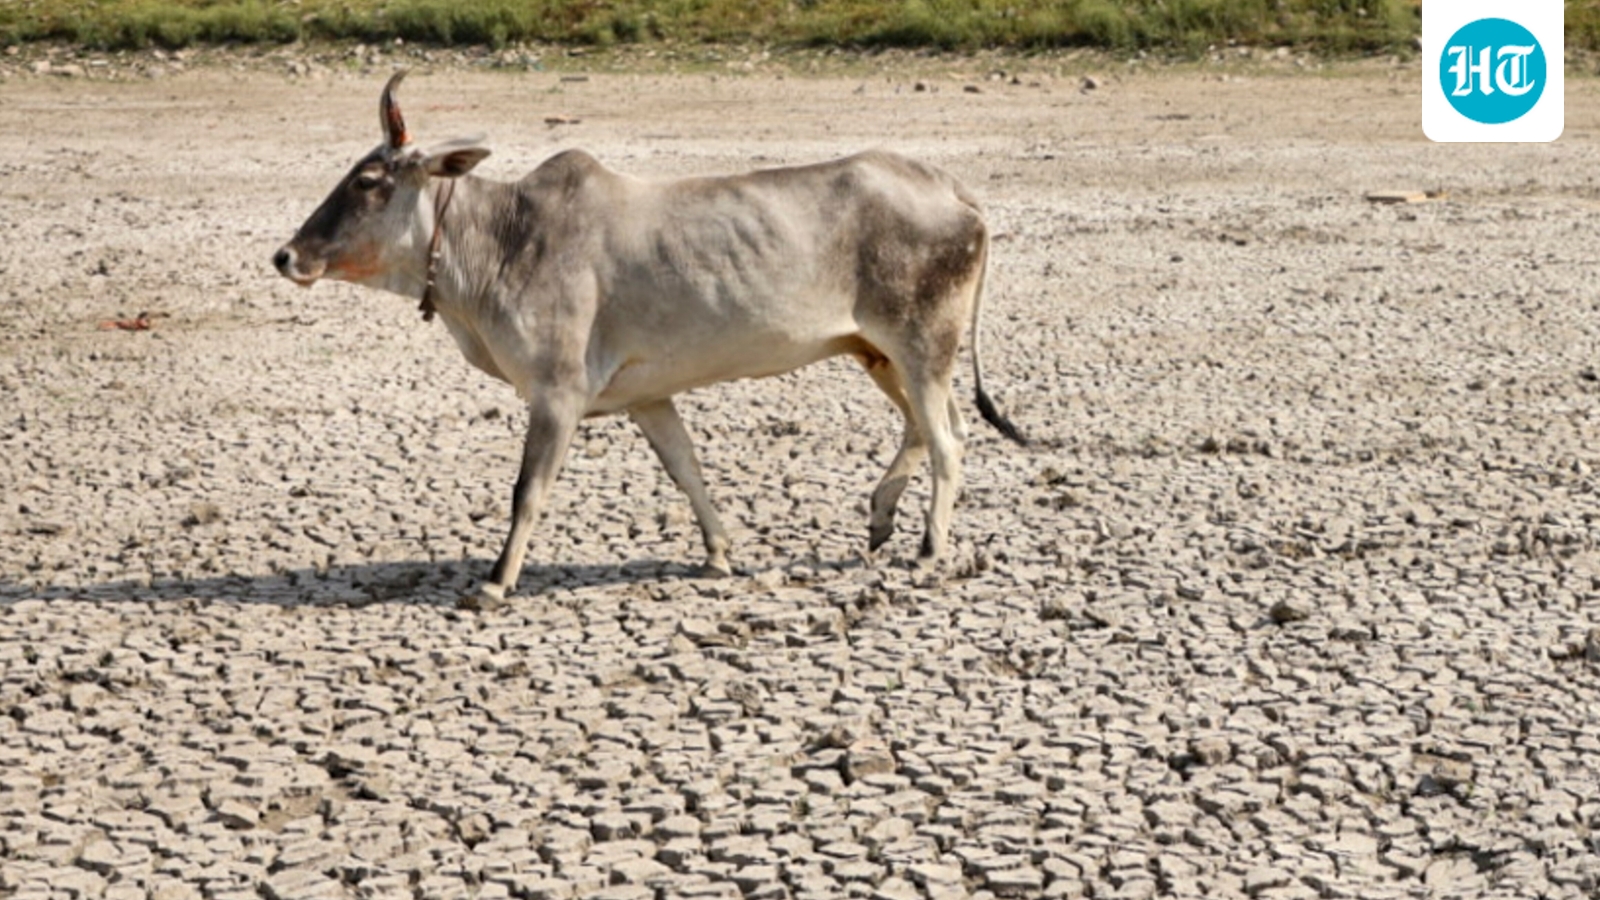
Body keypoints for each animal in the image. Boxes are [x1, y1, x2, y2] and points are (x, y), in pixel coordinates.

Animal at [273, 71, 1025, 608]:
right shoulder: (647, 397)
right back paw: (880, 517)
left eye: (368, 180)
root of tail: (951, 188)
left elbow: (528, 489)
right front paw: (718, 553)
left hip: (922, 344)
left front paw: (494, 582)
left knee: (949, 438)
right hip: (880, 352)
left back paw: (928, 549)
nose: (287, 256)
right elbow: (687, 470)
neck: (505, 238)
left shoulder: (557, 393)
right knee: (930, 426)